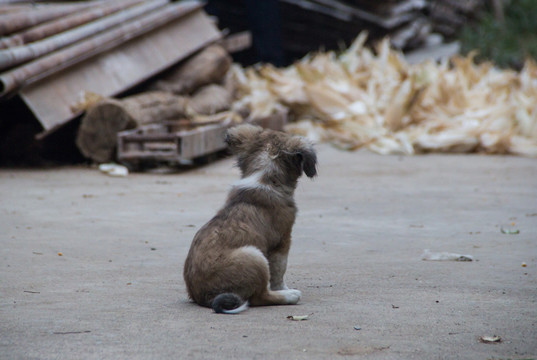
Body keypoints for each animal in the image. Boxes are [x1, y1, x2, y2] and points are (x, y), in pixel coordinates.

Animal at [182, 123, 316, 312]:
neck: (266, 178)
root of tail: (203, 298)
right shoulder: (282, 242)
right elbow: (279, 271)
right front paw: (284, 288)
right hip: (255, 256)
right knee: (260, 297)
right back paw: (289, 296)